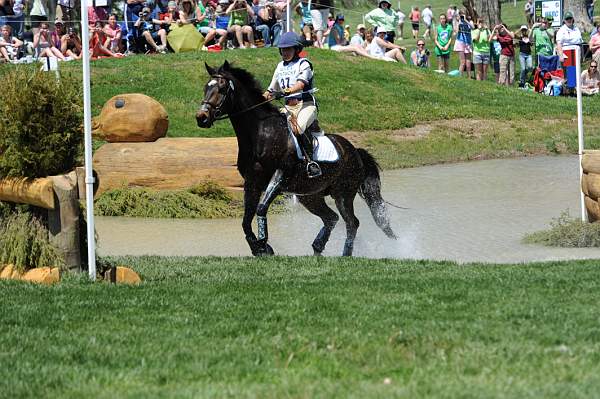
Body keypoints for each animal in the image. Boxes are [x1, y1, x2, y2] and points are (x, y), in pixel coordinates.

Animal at [195, 61, 396, 258]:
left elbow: (260, 209)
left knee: (352, 222)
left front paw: (263, 245)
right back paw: (317, 247)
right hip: (311, 196)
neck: (261, 132)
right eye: (206, 87)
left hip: (343, 194)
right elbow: (246, 219)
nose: (201, 117)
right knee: (331, 218)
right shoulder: (252, 182)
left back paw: (345, 254)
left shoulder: (280, 175)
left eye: (222, 89)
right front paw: (258, 247)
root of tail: (355, 151)